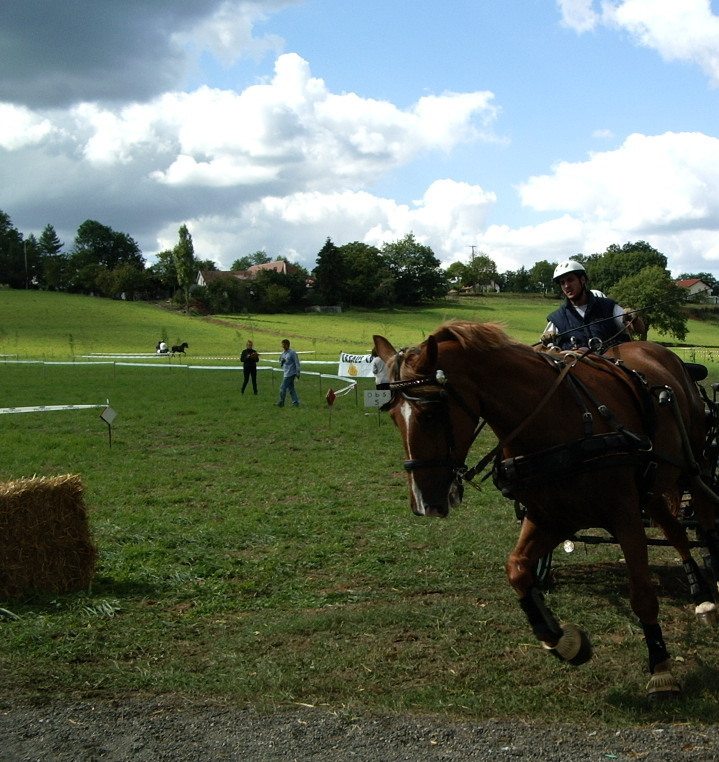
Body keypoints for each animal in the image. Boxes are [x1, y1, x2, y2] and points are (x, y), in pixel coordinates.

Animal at [374, 321, 719, 702]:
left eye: (432, 413)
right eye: (393, 416)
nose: (425, 503)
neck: (558, 422)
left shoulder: (624, 515)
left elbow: (642, 595)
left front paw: (661, 670)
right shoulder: (549, 516)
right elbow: (518, 570)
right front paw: (563, 641)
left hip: (695, 468)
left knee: (704, 522)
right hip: (653, 483)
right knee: (674, 529)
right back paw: (701, 595)